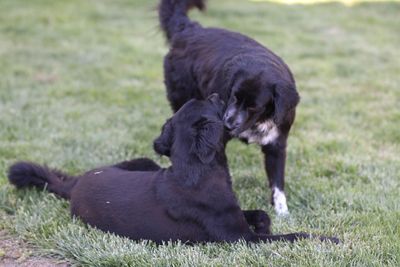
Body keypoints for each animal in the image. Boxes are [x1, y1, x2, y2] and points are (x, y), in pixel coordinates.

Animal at [7, 96, 338, 245]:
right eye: (212, 105)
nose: (217, 94)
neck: (197, 170)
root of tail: (74, 186)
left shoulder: (234, 218)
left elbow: (262, 214)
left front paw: (265, 222)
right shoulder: (239, 239)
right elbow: (292, 235)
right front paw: (328, 239)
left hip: (145, 162)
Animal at [158, 0, 298, 215]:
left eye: (254, 107)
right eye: (233, 96)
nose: (228, 123)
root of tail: (190, 29)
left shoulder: (277, 144)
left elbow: (277, 183)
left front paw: (282, 212)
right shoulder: (216, 139)